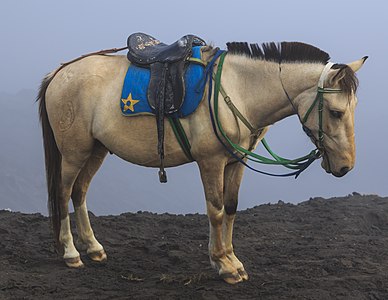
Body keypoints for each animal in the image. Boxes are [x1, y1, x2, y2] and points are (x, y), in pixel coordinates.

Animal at [37, 39, 366, 284]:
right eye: (336, 112)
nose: (346, 166)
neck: (239, 91)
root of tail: (60, 72)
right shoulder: (211, 162)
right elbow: (216, 211)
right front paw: (224, 265)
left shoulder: (236, 162)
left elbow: (231, 208)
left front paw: (231, 259)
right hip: (74, 152)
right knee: (64, 193)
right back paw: (71, 253)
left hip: (96, 150)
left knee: (80, 192)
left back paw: (94, 248)